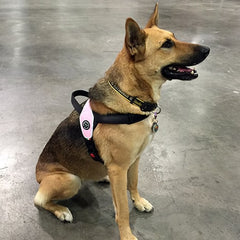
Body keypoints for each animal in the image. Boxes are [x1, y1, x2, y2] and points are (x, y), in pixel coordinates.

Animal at [34, 4, 209, 240]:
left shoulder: (134, 160)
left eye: (174, 36)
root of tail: (38, 174)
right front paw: (126, 234)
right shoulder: (118, 168)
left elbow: (133, 183)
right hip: (69, 179)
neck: (131, 99)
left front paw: (139, 201)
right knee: (40, 200)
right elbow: (123, 209)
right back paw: (61, 211)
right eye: (167, 44)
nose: (207, 49)